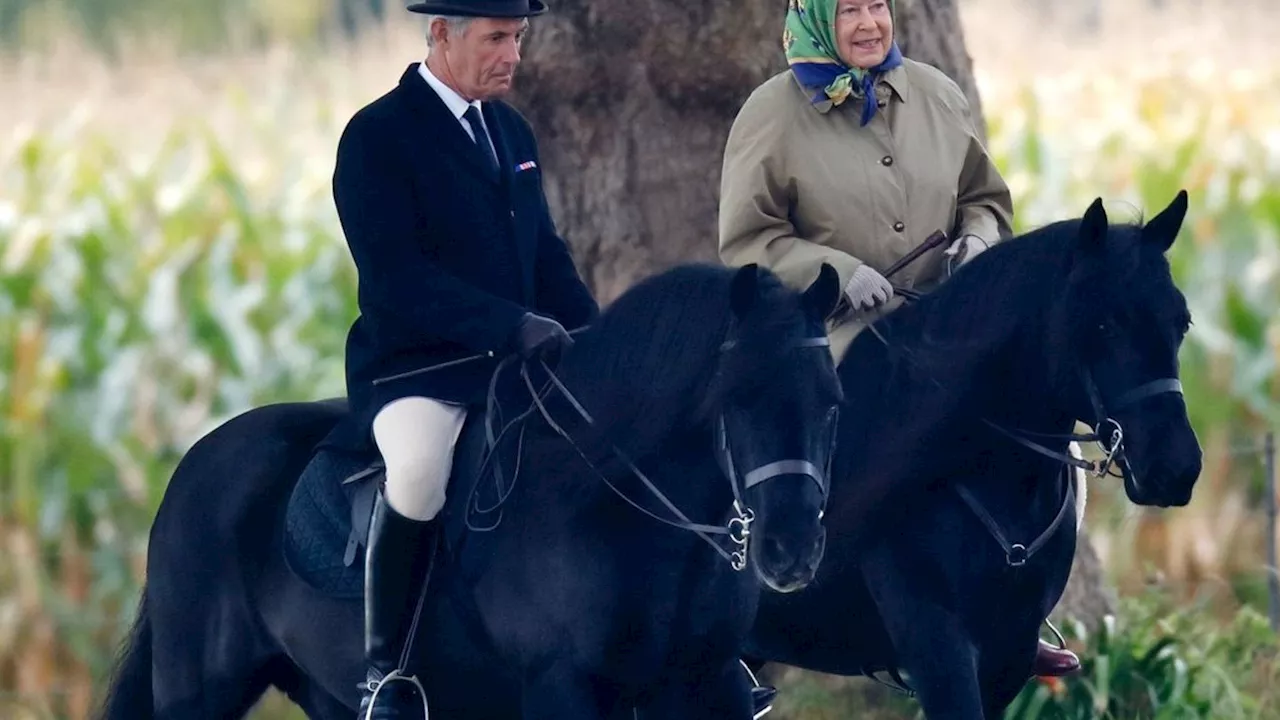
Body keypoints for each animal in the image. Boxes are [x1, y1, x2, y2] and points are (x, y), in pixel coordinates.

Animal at [94, 260, 844, 712]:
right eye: (736, 397)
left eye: (832, 401)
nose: (791, 552)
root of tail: (196, 461)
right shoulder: (562, 688)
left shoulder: (704, 685)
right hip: (198, 691)